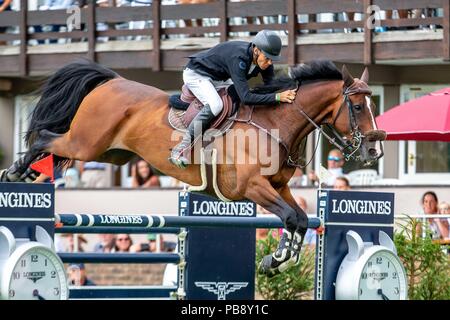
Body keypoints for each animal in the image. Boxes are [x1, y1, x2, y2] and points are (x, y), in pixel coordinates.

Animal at [0, 58, 386, 276]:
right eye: (357, 106)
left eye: (372, 104)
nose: (374, 149)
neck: (276, 122)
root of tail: (111, 80)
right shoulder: (252, 188)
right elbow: (291, 218)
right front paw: (277, 258)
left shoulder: (279, 187)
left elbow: (302, 219)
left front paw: (275, 261)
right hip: (87, 143)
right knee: (46, 138)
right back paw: (16, 173)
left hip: (110, 153)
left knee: (57, 149)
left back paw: (28, 173)